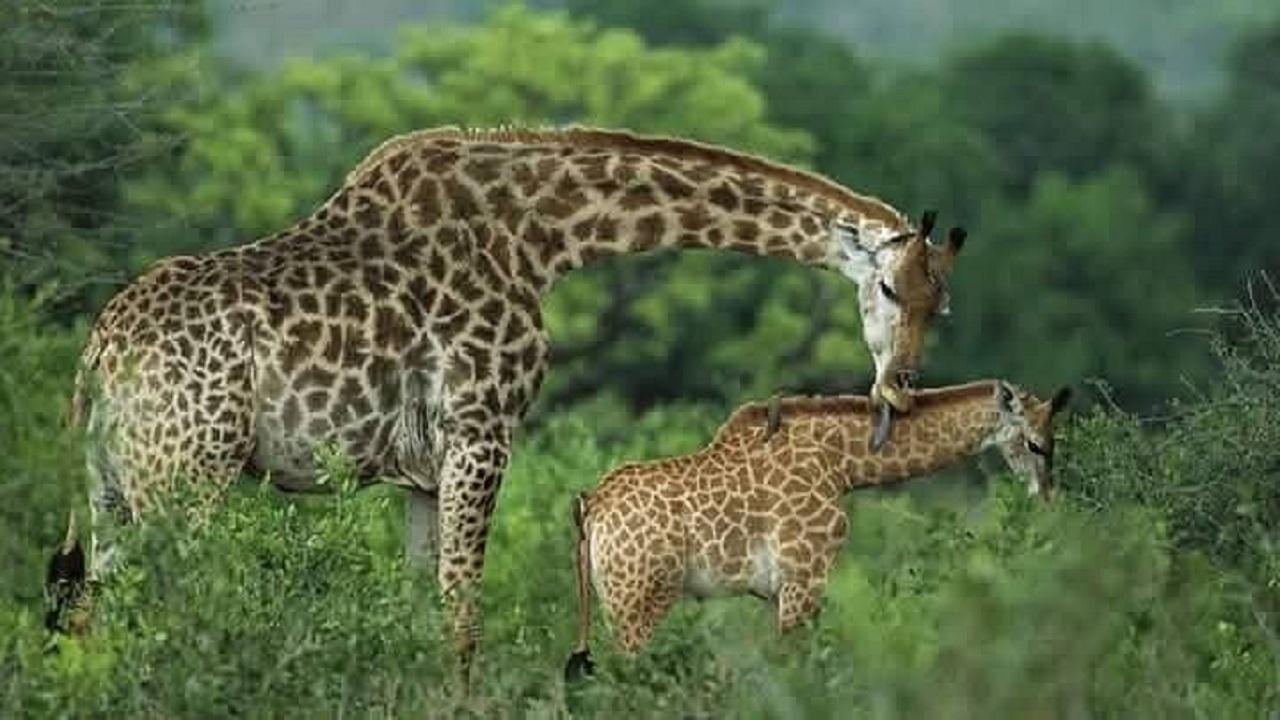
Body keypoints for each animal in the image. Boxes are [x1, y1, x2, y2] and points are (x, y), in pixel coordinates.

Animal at [60, 126, 967, 685]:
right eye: (889, 287)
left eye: (943, 305)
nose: (900, 385)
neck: (542, 237)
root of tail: (99, 353)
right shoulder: (481, 430)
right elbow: (464, 613)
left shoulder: (422, 472)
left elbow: (420, 608)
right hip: (187, 476)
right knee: (162, 609)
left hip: (114, 484)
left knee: (95, 609)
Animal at [563, 380, 1071, 678]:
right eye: (1035, 444)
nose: (1048, 500)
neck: (841, 464)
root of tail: (591, 505)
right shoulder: (804, 576)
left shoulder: (776, 590)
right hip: (639, 597)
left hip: (614, 599)